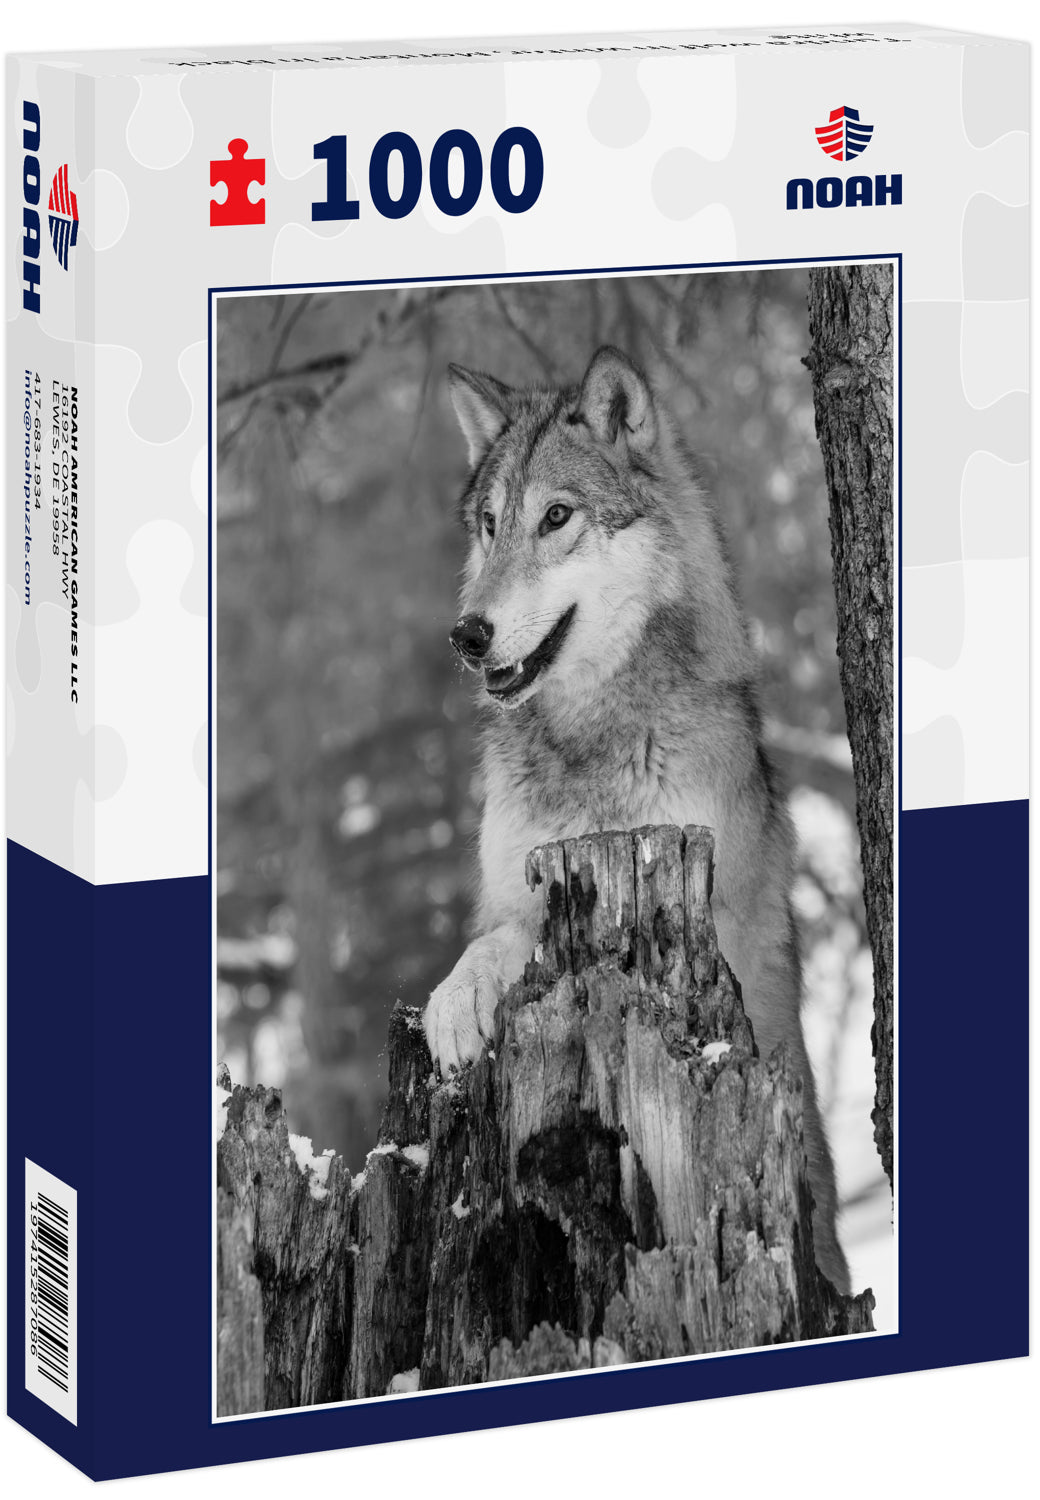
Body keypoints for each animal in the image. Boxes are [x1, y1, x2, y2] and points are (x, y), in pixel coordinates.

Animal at [422, 344, 850, 1294]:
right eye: (490, 525)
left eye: (556, 517)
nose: (468, 634)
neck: (591, 742)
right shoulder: (503, 890)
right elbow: (493, 936)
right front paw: (456, 1000)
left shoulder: (698, 901)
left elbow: (531, 932)